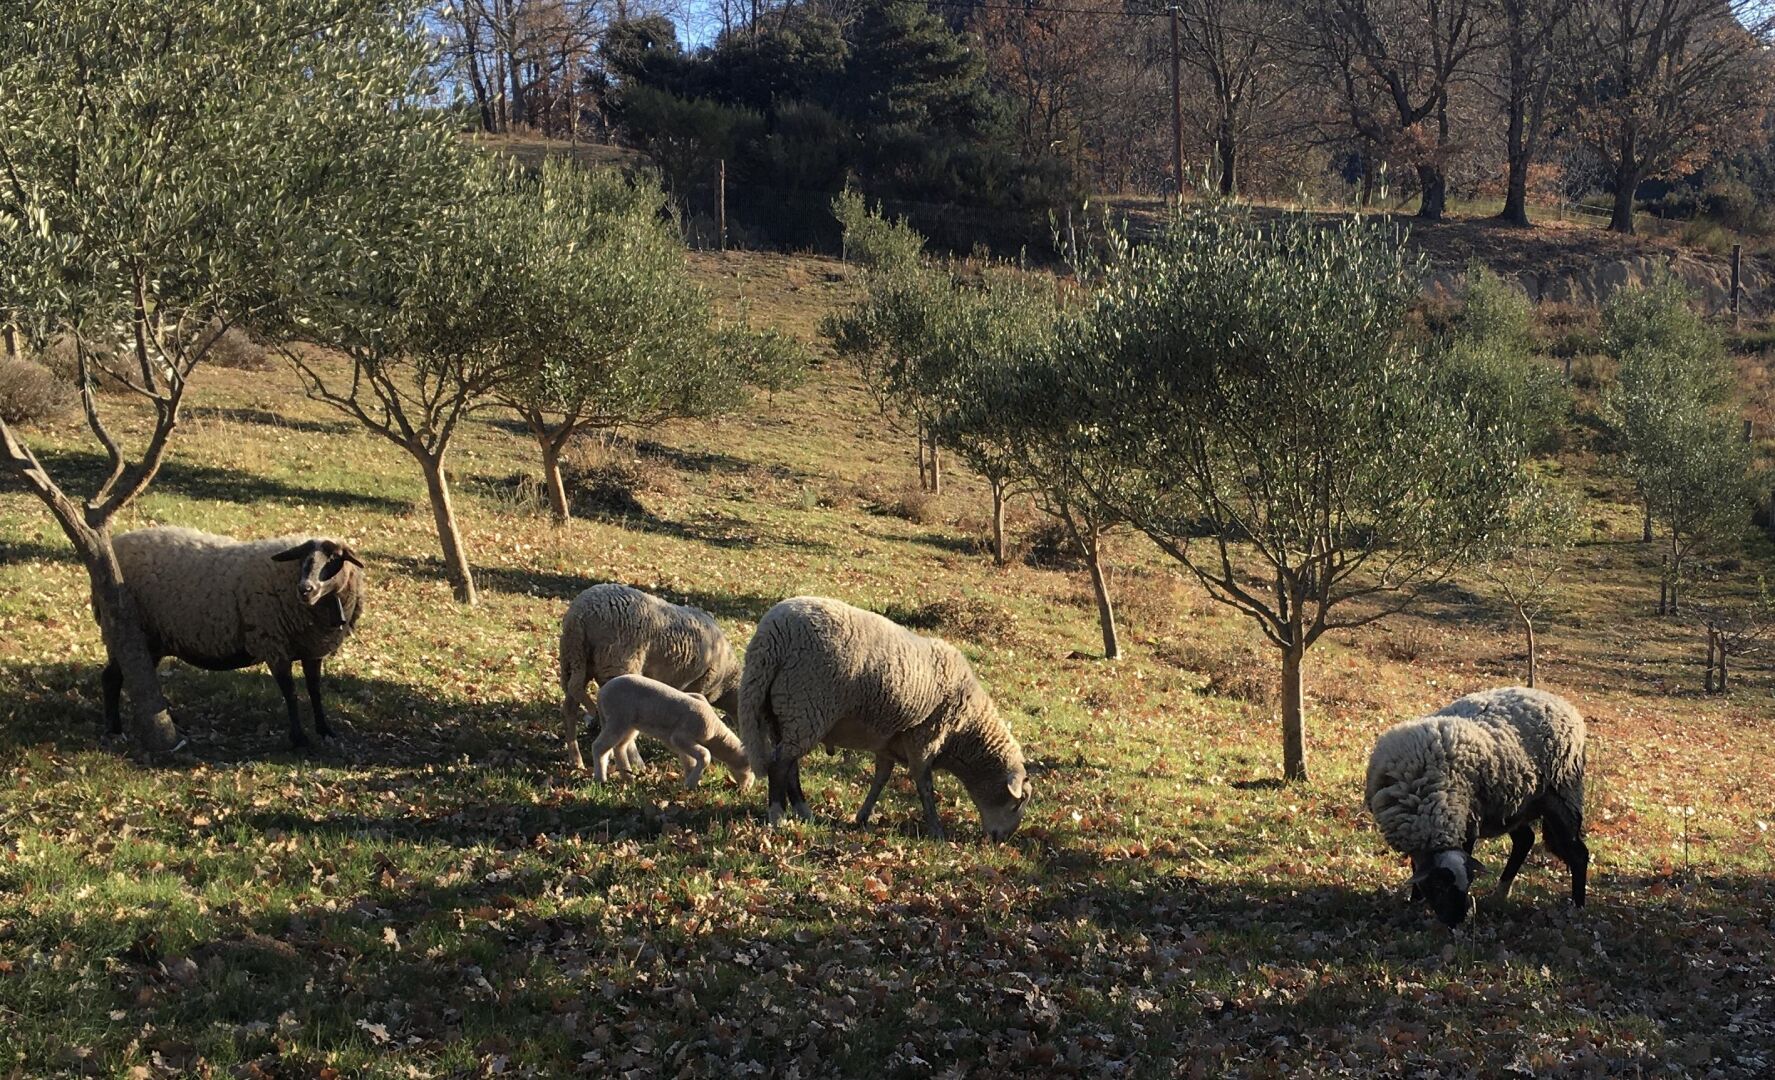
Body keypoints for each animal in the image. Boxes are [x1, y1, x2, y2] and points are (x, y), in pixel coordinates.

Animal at [107, 527, 365, 748]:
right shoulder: (273, 644)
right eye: (303, 557)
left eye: (334, 558)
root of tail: (117, 542)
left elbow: (314, 690)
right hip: (129, 632)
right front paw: (299, 738)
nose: (305, 589)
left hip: (151, 640)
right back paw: (114, 730)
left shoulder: (312, 650)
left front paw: (325, 730)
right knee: (110, 678)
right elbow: (290, 693)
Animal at [558, 583, 742, 773]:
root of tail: (579, 616)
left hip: (574, 659)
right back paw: (636, 763)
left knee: (570, 707)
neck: (727, 682)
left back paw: (576, 760)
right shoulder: (699, 684)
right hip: (616, 663)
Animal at [591, 674, 753, 789]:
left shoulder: (678, 743)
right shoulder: (681, 736)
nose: (747, 789)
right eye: (751, 769)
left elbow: (689, 760)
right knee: (599, 747)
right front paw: (691, 783)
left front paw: (689, 781)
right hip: (617, 718)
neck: (715, 734)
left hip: (629, 724)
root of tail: (601, 693)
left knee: (620, 747)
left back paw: (628, 778)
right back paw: (601, 779)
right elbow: (705, 755)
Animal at [737, 596, 1030, 841]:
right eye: (1018, 802)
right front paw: (936, 830)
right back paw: (778, 815)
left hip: (784, 713)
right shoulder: (925, 740)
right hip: (805, 706)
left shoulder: (888, 745)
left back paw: (802, 810)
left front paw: (862, 816)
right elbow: (925, 786)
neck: (965, 733)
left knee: (790, 766)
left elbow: (880, 780)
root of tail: (770, 637)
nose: (1001, 840)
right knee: (779, 765)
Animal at [1365, 686, 1588, 927]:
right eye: (1439, 887)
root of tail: (1562, 702)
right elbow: (1416, 867)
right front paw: (1415, 900)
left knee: (1579, 854)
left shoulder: (1469, 822)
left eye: (1469, 883)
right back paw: (1500, 894)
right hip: (1514, 805)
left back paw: (1577, 907)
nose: (1458, 922)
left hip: (1563, 796)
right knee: (1525, 840)